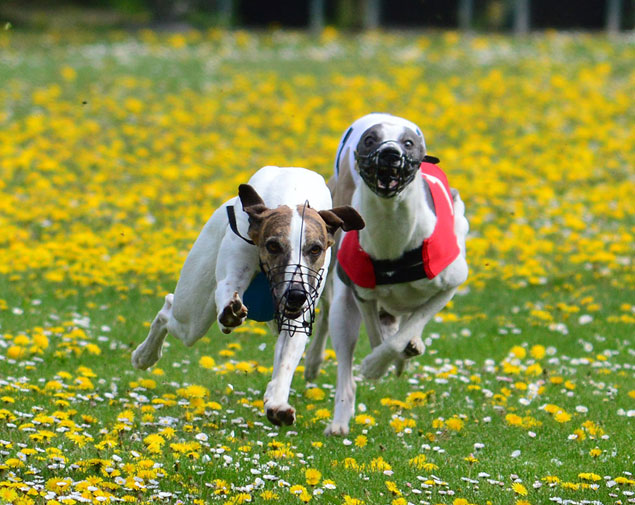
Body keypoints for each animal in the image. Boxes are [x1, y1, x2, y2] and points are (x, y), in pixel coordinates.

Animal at [132, 165, 366, 426]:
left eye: (315, 249)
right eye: (273, 245)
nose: (296, 295)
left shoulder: (299, 311)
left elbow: (287, 354)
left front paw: (277, 403)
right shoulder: (233, 274)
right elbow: (228, 289)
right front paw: (231, 313)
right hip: (192, 316)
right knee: (169, 311)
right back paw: (143, 355)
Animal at [306, 113, 470, 434]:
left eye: (408, 142)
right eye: (371, 140)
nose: (390, 154)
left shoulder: (450, 284)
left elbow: (404, 332)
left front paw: (394, 355)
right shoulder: (359, 291)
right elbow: (378, 338)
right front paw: (375, 365)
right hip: (336, 287)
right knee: (336, 332)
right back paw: (335, 412)